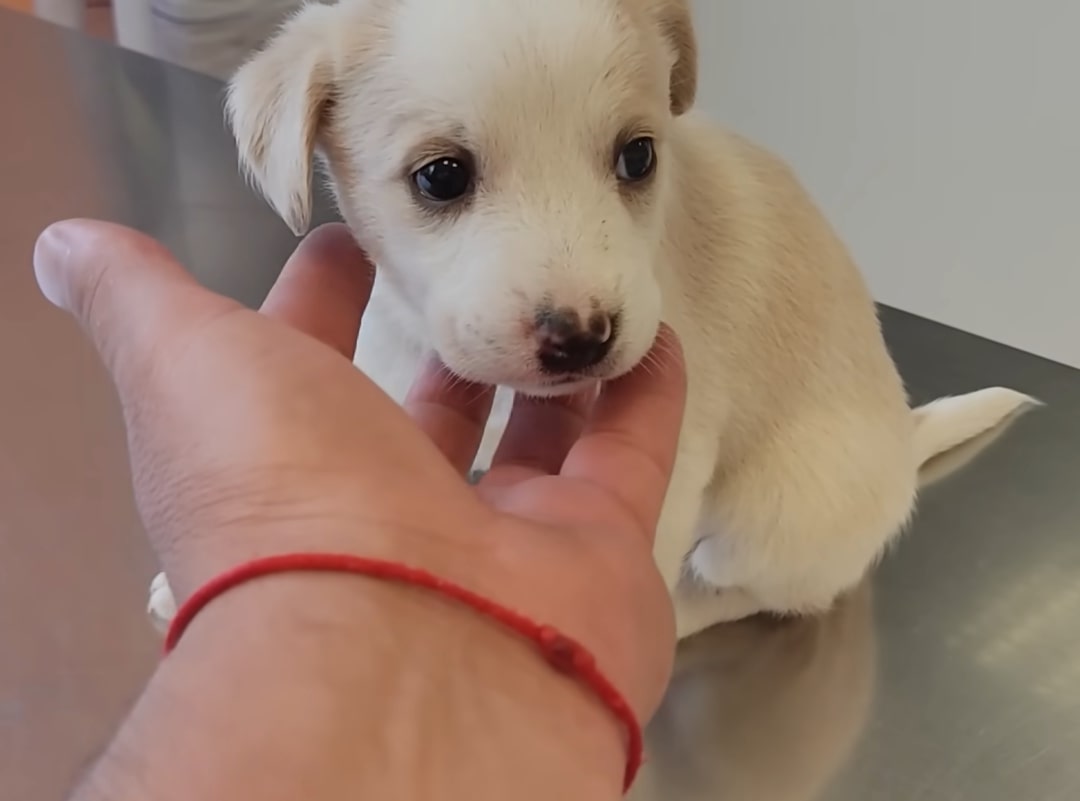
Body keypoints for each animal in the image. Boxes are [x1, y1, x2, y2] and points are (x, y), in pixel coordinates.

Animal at [147, 0, 1032, 639]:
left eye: (638, 156)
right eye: (441, 176)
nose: (583, 335)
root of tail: (903, 442)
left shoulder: (678, 454)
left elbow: (651, 549)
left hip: (776, 514)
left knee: (761, 590)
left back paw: (684, 614)